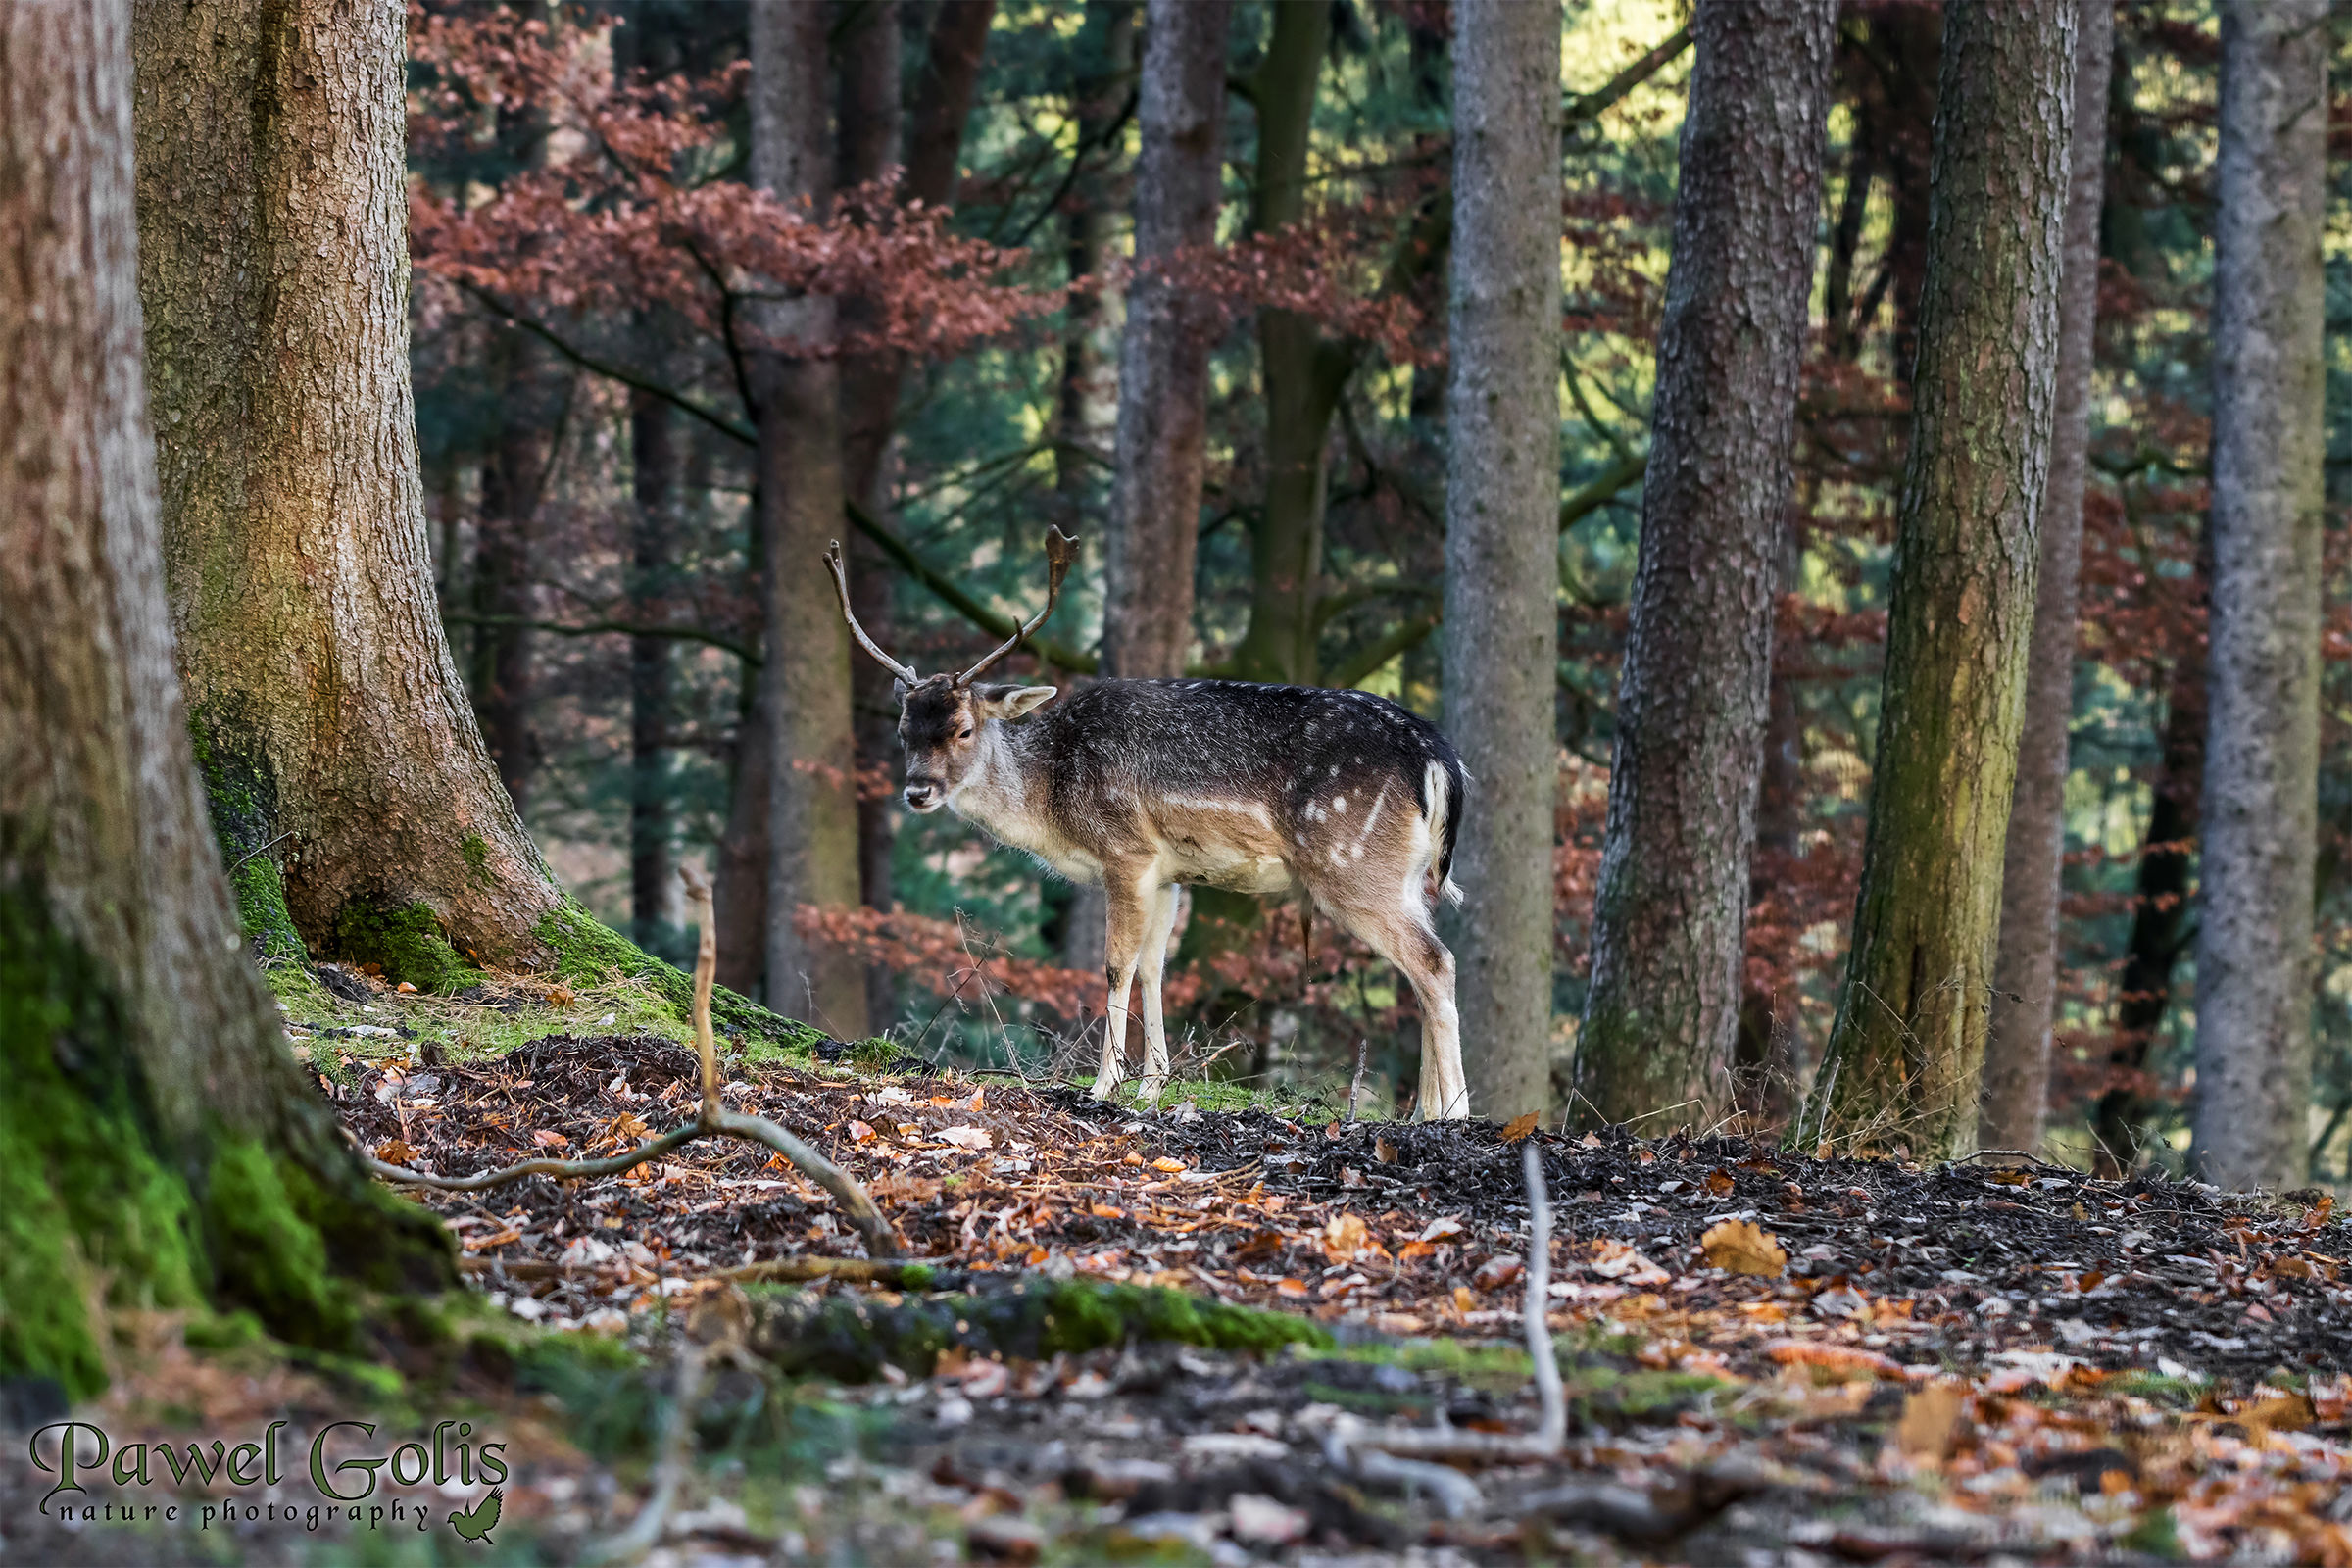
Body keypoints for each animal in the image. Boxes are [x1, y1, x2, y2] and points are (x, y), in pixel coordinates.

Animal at [825, 529, 1473, 1120]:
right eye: (903, 731)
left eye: (963, 728)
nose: (918, 791)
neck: (1054, 801)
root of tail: (1439, 759)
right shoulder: (1168, 872)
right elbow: (1154, 966)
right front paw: (1152, 1085)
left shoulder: (1126, 851)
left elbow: (1118, 964)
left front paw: (1101, 1086)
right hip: (1407, 876)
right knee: (1420, 969)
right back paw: (1425, 1110)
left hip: (1352, 864)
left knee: (1435, 962)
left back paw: (1456, 1113)